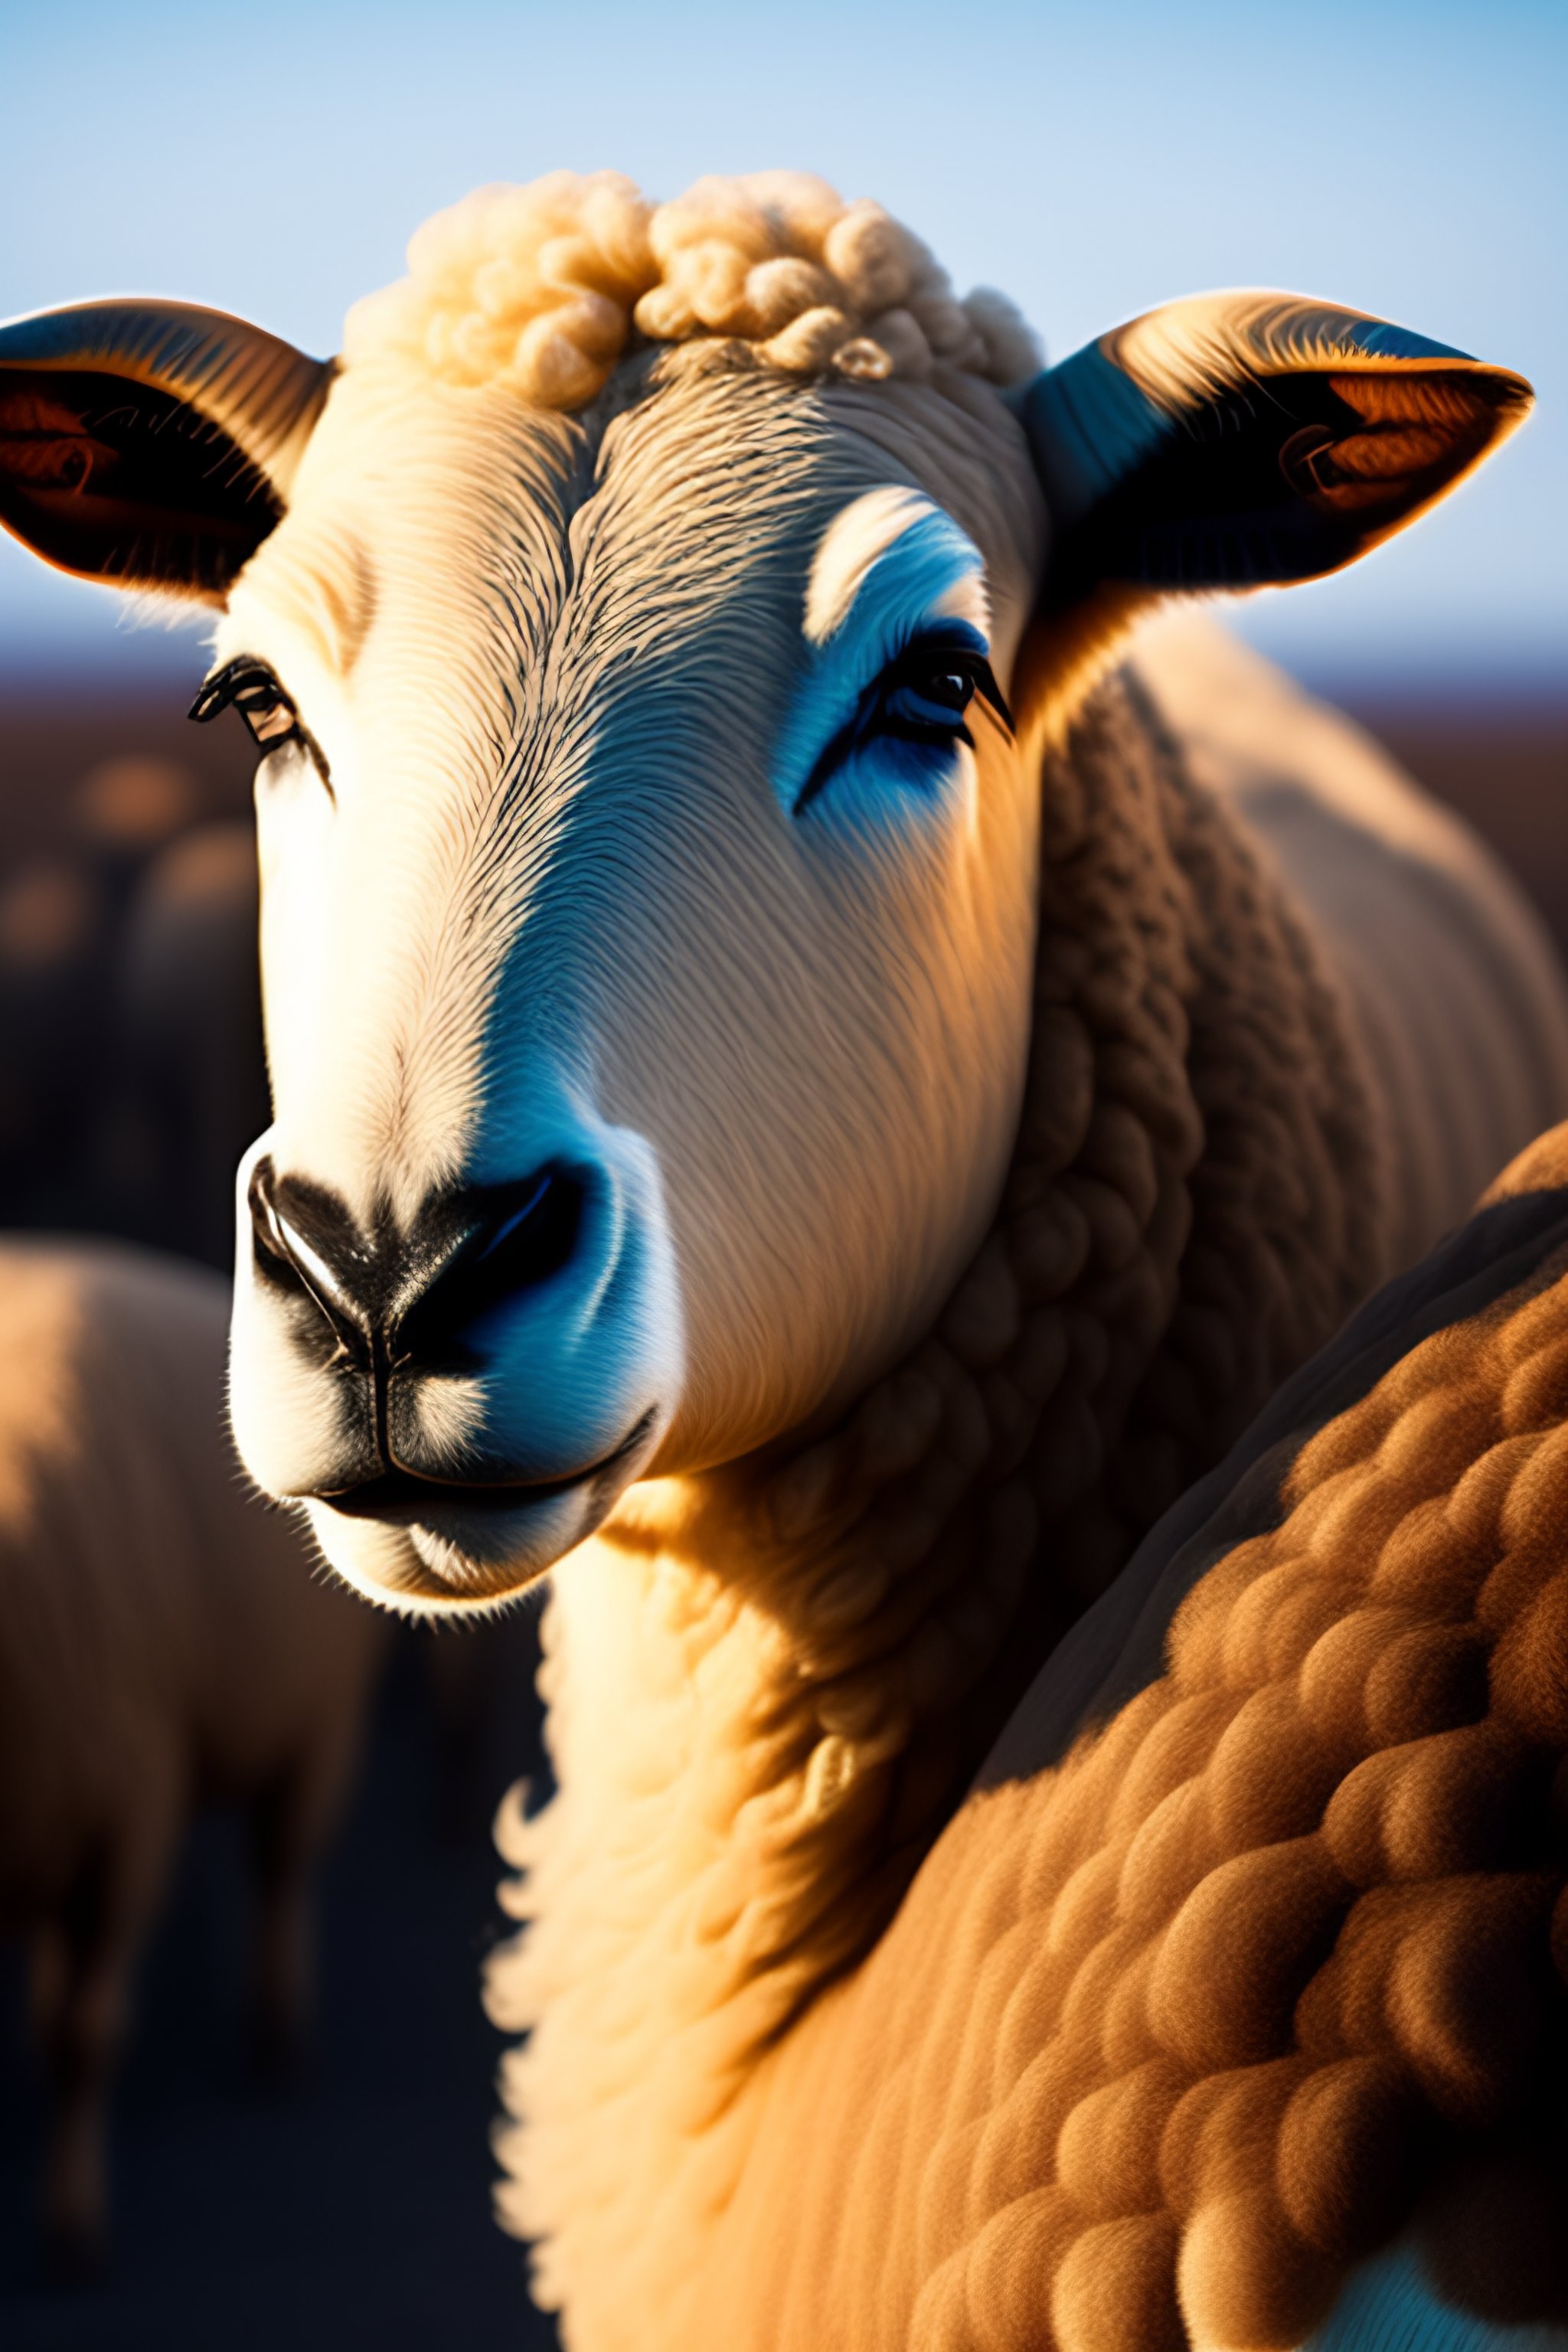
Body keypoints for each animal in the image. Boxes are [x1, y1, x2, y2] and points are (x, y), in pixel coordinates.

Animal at [0, 1238, 382, 2275]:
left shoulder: (128, 1816)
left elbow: (81, 2037)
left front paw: (72, 2231)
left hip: (317, 1724)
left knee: (280, 1868)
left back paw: (277, 2042)